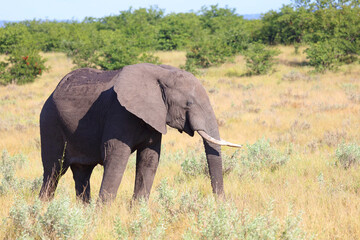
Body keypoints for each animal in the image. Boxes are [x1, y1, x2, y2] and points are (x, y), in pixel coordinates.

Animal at [38, 63, 242, 202]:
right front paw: (103, 215)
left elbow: (150, 158)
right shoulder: (118, 112)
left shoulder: (154, 117)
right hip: (49, 122)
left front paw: (138, 211)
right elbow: (116, 158)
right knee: (53, 171)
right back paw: (42, 209)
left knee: (82, 173)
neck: (161, 73)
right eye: (189, 104)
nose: (220, 204)